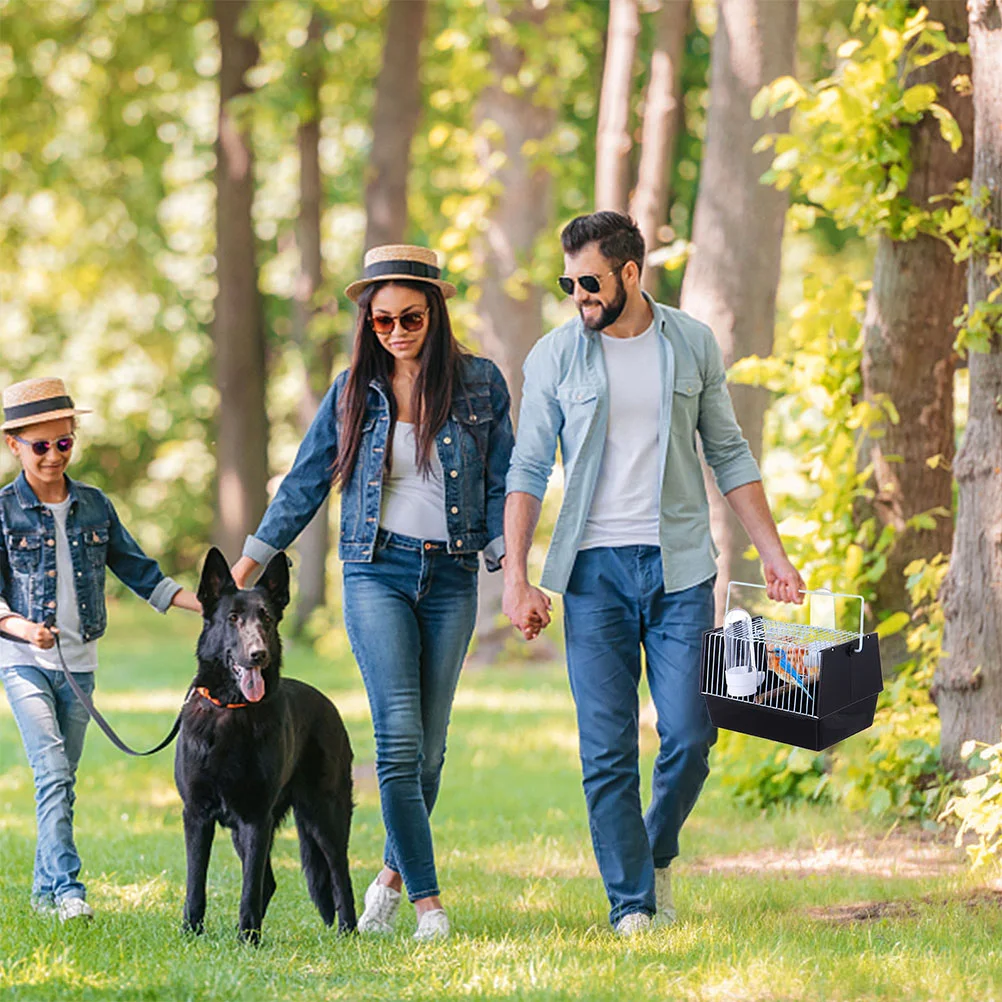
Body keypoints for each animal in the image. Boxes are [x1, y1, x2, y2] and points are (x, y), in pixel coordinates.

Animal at [175, 549, 356, 937]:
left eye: (267, 620)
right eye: (232, 618)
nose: (259, 654)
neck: (232, 709)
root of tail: (328, 705)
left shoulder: (256, 817)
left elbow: (249, 886)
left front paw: (248, 939)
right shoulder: (197, 815)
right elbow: (196, 882)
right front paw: (192, 932)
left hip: (325, 815)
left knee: (338, 872)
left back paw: (348, 930)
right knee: (270, 881)